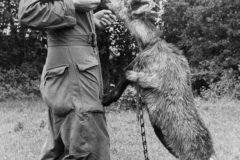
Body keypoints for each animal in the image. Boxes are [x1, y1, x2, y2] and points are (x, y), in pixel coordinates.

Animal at [102, 0, 218, 160]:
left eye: (124, 3)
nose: (106, 2)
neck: (150, 42)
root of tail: (210, 154)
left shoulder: (147, 77)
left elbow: (125, 77)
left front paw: (105, 99)